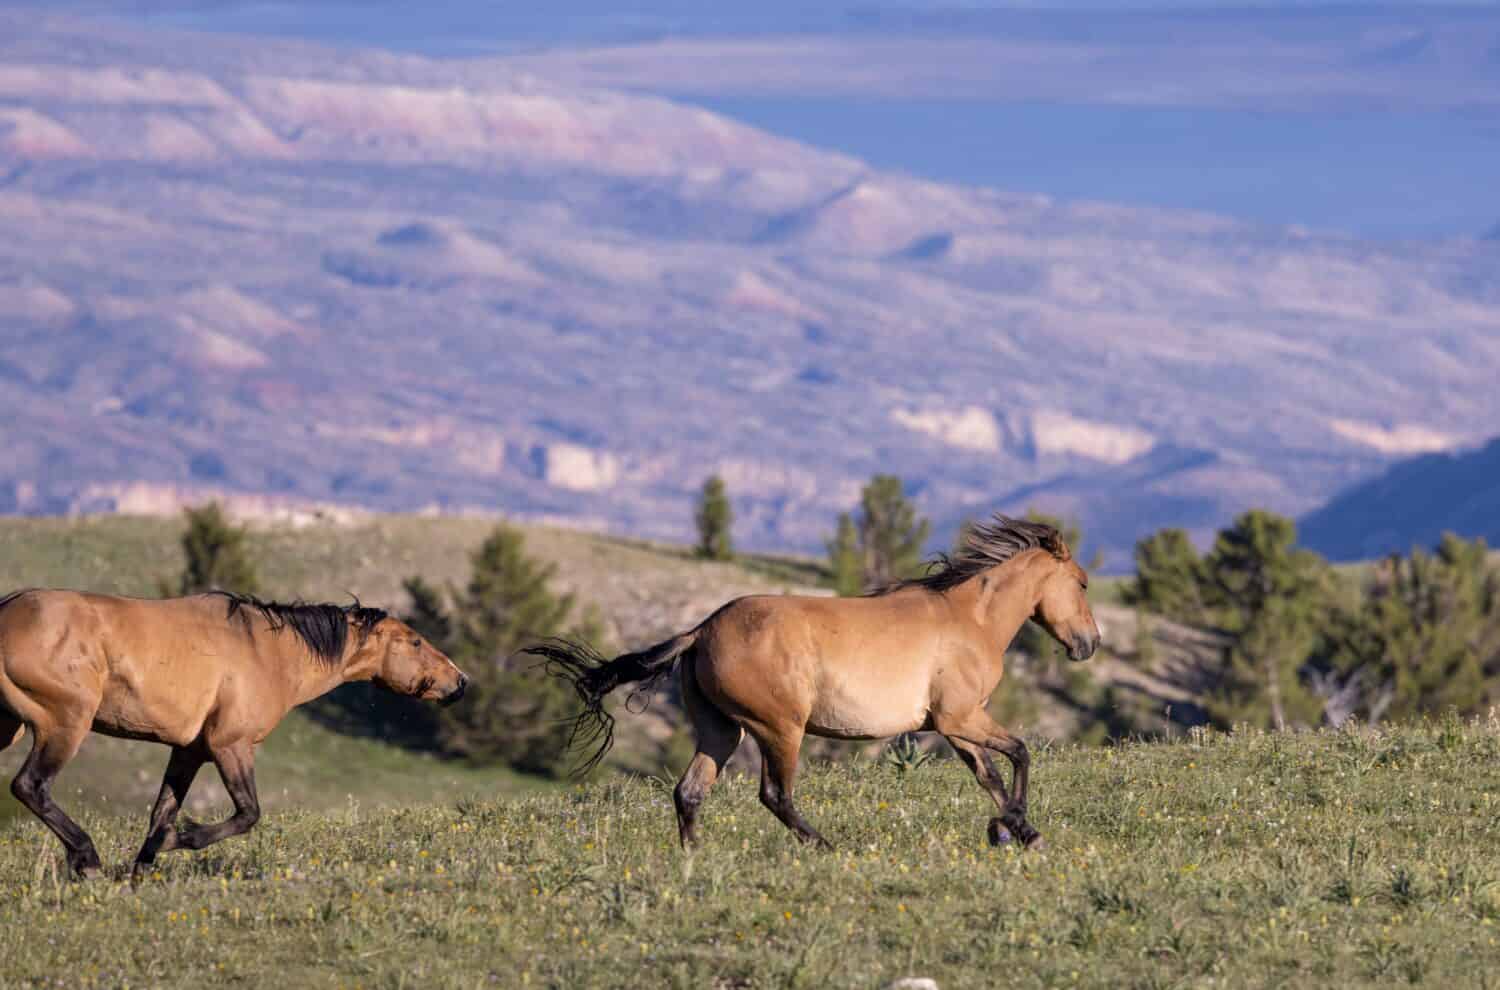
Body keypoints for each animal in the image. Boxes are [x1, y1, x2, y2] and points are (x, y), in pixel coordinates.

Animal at [0, 588, 468, 876]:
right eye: (415, 642)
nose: (460, 682)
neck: (269, 652)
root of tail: (9, 610)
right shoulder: (232, 746)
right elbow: (247, 814)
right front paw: (177, 840)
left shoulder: (188, 751)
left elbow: (161, 813)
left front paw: (143, 867)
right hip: (65, 723)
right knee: (30, 786)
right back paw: (87, 859)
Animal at [531, 519, 1104, 852]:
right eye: (1081, 583)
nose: (1089, 643)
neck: (968, 620)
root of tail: (701, 631)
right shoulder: (960, 717)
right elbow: (1020, 753)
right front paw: (1019, 827)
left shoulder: (955, 725)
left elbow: (991, 774)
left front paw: (1015, 830)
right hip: (779, 728)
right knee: (774, 795)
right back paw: (824, 848)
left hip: (721, 730)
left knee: (689, 791)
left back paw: (694, 859)